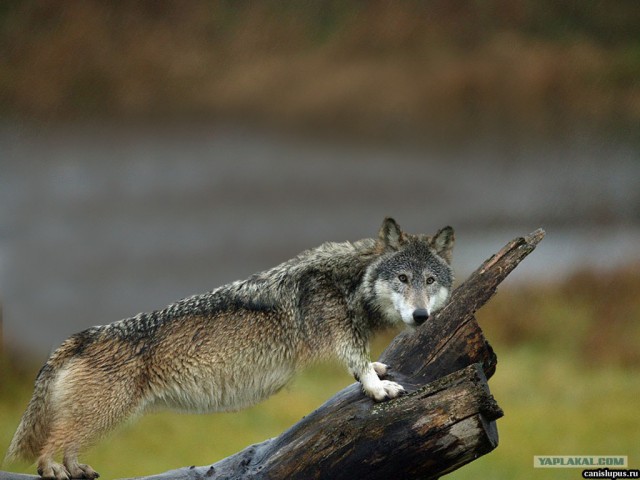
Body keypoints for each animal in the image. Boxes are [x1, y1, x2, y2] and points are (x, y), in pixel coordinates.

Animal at [5, 218, 456, 480]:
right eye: (402, 278)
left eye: (430, 280)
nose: (421, 317)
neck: (349, 280)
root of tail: (81, 335)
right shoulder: (342, 337)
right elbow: (358, 365)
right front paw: (378, 389)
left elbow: (363, 364)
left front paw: (378, 374)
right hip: (103, 415)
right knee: (49, 448)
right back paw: (55, 471)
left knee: (67, 444)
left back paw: (76, 470)